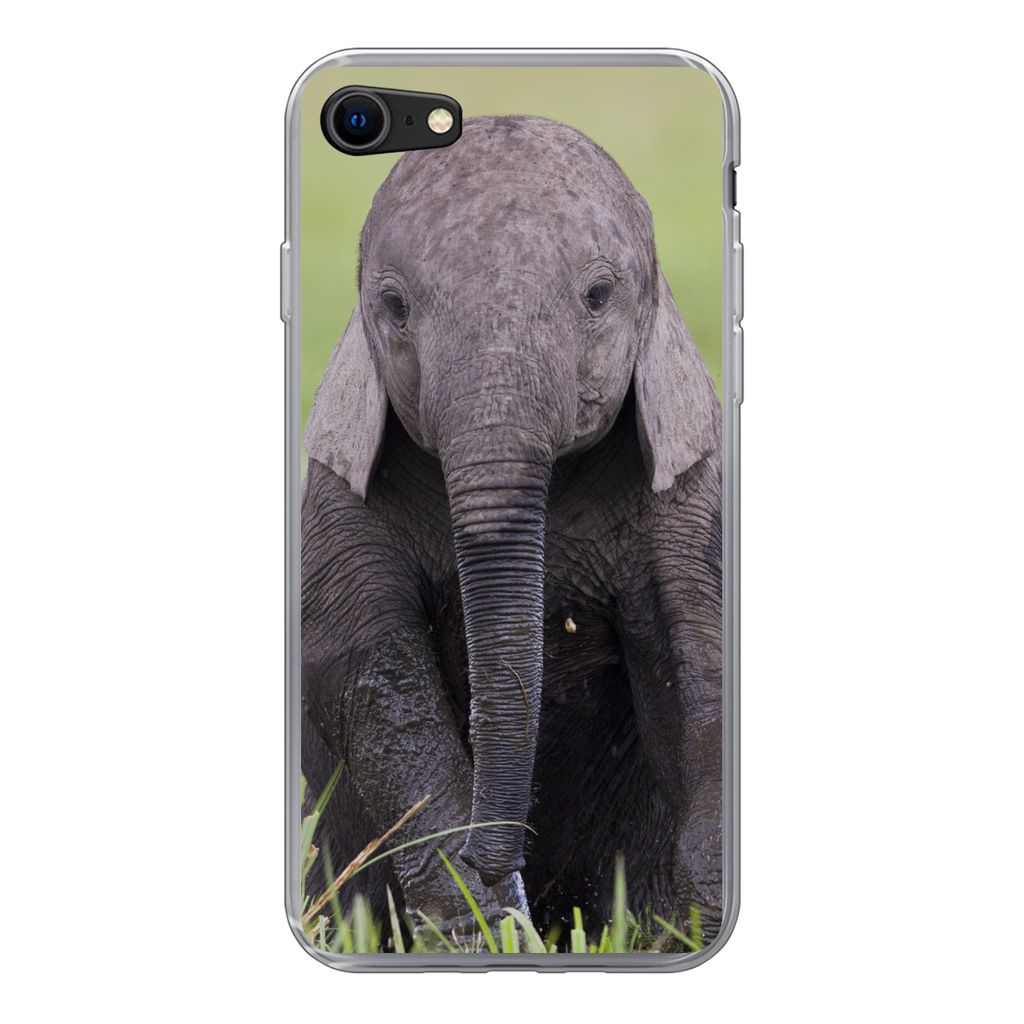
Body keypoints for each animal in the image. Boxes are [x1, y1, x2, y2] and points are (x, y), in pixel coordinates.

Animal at [301, 115, 723, 946]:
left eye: (597, 296)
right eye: (393, 306)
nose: (501, 862)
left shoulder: (696, 496)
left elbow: (706, 665)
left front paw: (689, 933)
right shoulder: (336, 500)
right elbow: (364, 672)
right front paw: (481, 930)